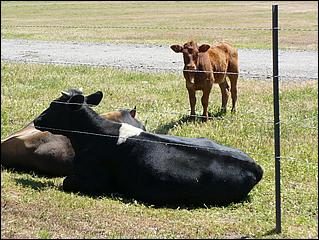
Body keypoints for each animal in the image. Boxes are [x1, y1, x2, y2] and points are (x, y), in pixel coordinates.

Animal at [34, 90, 264, 206]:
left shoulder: (94, 179)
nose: (36, 120)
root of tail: (255, 166)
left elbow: (66, 181)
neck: (90, 136)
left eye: (54, 105)